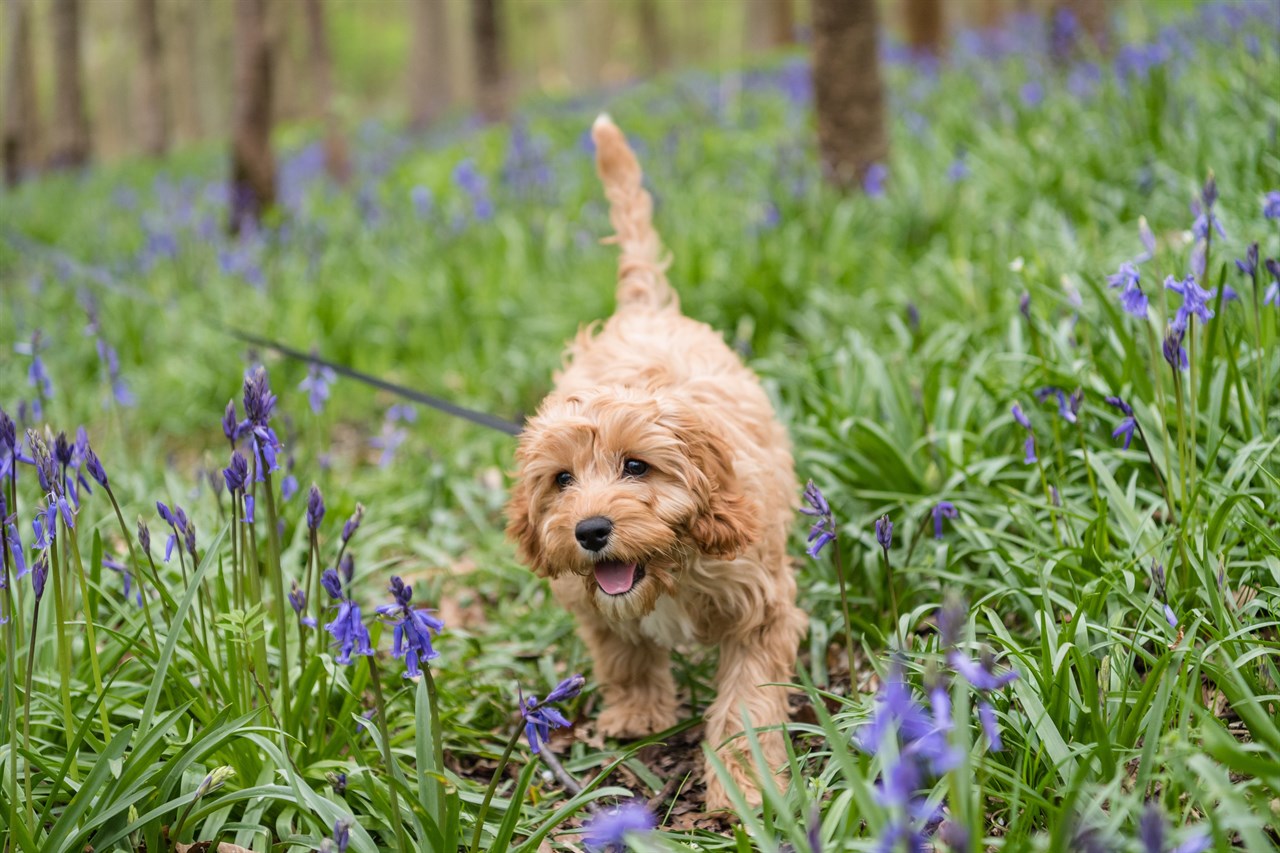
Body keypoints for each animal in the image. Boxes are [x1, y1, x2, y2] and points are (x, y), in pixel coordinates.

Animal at [504, 114, 803, 809]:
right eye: (562, 479)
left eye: (636, 467)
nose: (590, 532)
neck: (672, 565)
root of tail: (643, 308)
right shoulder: (593, 601)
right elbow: (623, 653)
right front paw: (639, 714)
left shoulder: (762, 607)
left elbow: (747, 702)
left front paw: (745, 787)